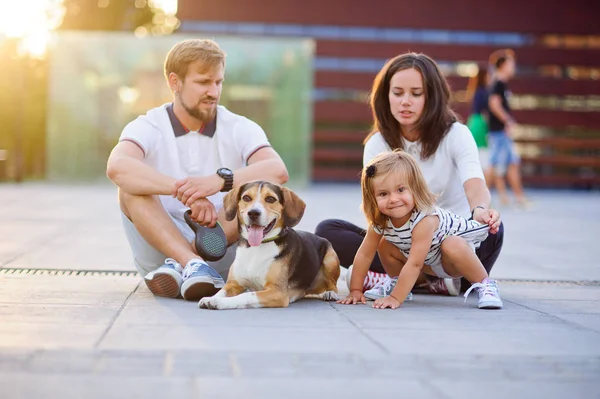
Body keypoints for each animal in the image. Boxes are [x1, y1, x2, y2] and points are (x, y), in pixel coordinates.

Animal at [199, 180, 340, 310]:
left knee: (332, 284)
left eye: (271, 199)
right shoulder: (233, 284)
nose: (253, 213)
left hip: (330, 258)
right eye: (246, 197)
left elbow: (246, 295)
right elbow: (221, 291)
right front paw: (211, 298)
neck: (257, 247)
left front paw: (220, 302)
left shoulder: (277, 293)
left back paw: (330, 293)